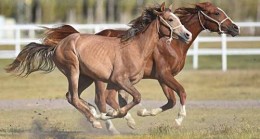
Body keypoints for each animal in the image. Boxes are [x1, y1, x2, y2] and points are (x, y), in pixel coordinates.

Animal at [5, 2, 192, 129]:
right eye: (170, 19)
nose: (187, 34)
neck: (135, 48)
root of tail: (57, 46)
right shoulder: (120, 80)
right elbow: (135, 98)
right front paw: (110, 115)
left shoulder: (115, 82)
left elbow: (115, 101)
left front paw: (113, 114)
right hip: (73, 71)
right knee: (73, 97)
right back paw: (95, 121)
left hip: (86, 77)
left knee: (72, 97)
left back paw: (94, 113)